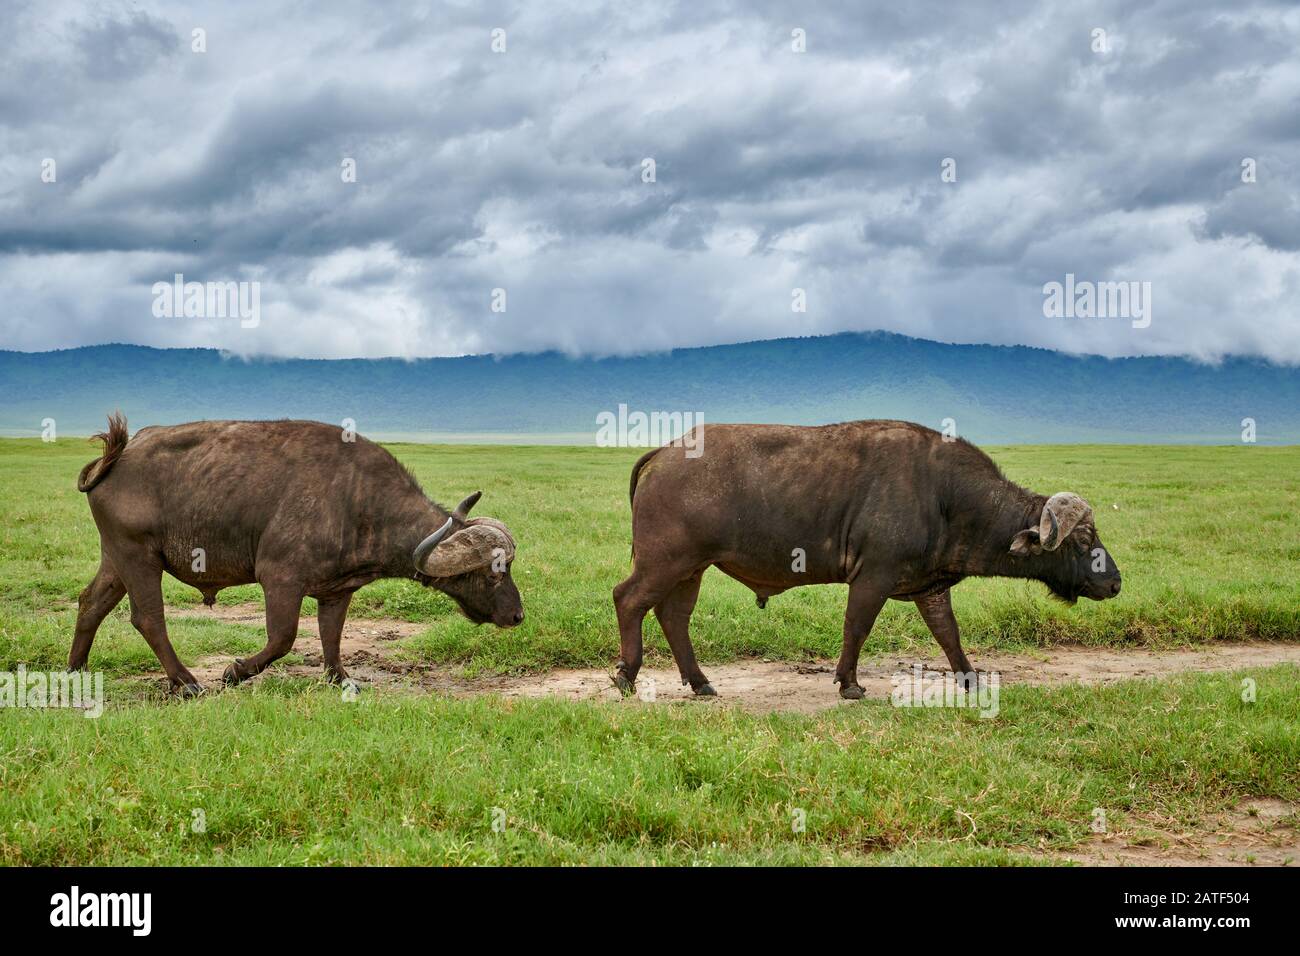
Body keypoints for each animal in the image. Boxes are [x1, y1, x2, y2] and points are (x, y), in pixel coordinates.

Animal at [73, 416, 520, 697]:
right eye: (493, 574)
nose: (517, 616)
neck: (358, 500)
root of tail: (117, 458)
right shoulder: (279, 580)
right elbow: (283, 638)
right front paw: (234, 672)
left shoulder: (337, 592)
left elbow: (332, 638)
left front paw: (342, 680)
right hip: (138, 556)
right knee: (148, 618)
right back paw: (186, 683)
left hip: (116, 559)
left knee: (90, 604)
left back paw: (76, 670)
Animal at [613, 421, 1123, 697]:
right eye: (1083, 540)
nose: (1115, 582)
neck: (945, 496)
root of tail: (665, 452)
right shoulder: (873, 578)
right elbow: (856, 627)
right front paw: (849, 683)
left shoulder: (929, 589)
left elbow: (949, 635)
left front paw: (971, 679)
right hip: (664, 562)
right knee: (628, 600)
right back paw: (627, 675)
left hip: (691, 570)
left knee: (674, 617)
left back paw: (700, 682)